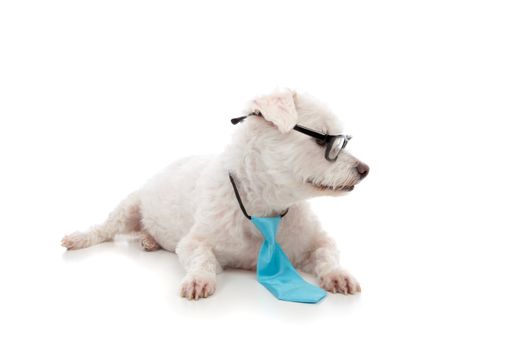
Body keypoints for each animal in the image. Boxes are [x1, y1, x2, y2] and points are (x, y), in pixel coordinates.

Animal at [61, 91, 368, 300]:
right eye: (322, 139)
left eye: (343, 140)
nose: (365, 170)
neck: (264, 205)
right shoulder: (194, 241)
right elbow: (201, 257)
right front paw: (199, 279)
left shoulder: (315, 241)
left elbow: (327, 253)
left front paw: (338, 274)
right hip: (129, 207)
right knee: (104, 228)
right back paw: (80, 238)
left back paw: (149, 240)